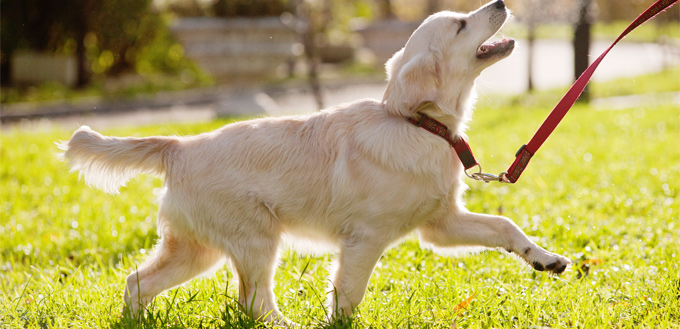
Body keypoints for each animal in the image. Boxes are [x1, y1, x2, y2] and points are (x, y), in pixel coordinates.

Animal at [61, 0, 568, 322]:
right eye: (462, 24)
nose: (500, 0)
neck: (416, 124)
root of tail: (179, 146)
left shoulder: (439, 225)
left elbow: (504, 227)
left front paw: (544, 259)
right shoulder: (365, 239)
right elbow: (348, 296)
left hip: (197, 249)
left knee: (137, 281)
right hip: (256, 239)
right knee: (255, 303)